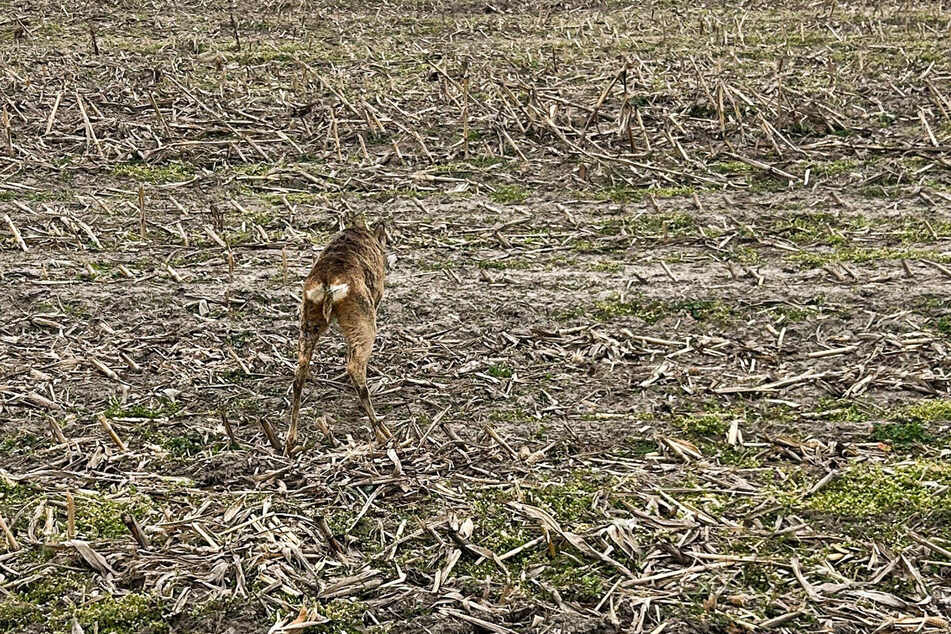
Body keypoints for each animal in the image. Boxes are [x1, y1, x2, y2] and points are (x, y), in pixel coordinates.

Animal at [290, 220, 394, 452]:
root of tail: (328, 280)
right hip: (365, 322)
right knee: (354, 367)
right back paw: (383, 434)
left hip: (308, 323)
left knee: (299, 374)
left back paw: (290, 440)